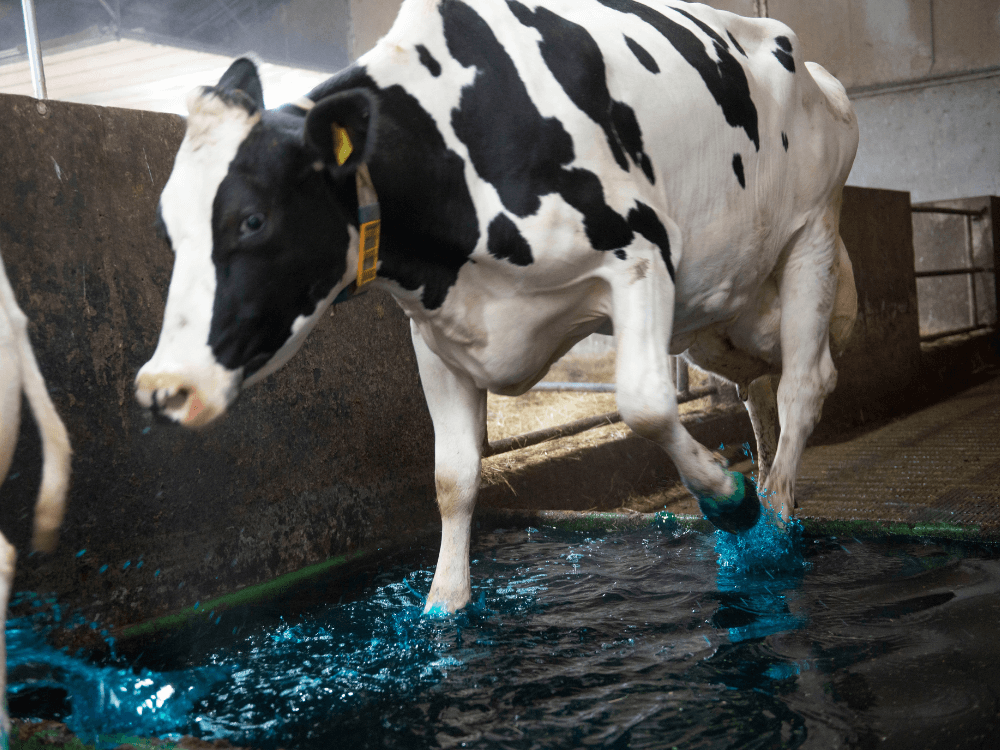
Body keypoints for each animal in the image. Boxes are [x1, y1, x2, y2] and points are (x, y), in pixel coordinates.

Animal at [135, 0, 858, 614]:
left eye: (252, 220)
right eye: (166, 229)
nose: (164, 387)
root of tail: (816, 71)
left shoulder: (640, 252)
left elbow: (646, 405)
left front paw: (729, 500)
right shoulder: (435, 330)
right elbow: (451, 476)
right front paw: (444, 608)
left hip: (811, 233)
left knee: (803, 384)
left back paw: (772, 524)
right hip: (722, 303)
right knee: (758, 387)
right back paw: (770, 491)